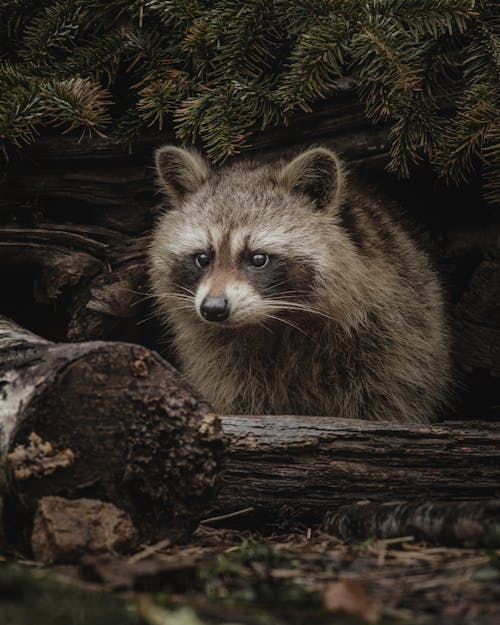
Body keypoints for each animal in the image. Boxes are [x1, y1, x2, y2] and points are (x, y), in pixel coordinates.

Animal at [148, 145, 454, 424]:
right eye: (203, 258)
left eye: (258, 258)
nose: (213, 308)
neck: (276, 322)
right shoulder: (218, 361)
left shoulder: (395, 338)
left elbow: (389, 397)